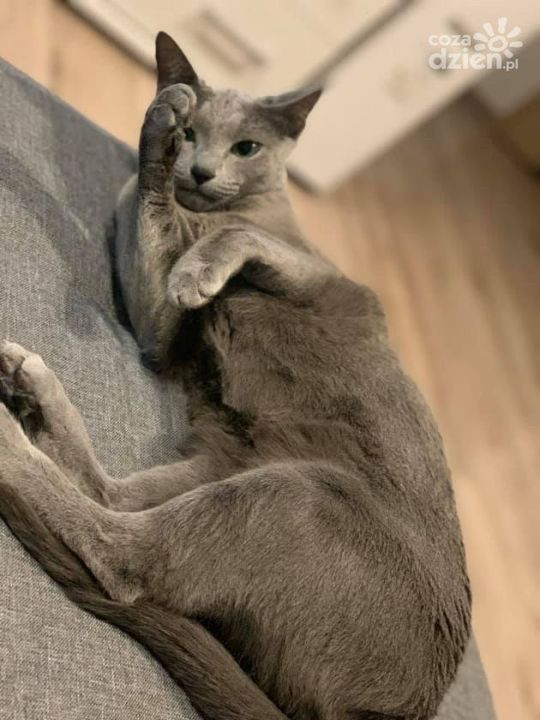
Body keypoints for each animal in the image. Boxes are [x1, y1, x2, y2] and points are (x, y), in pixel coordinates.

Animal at [0, 31, 470, 720]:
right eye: (197, 132)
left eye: (247, 147)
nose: (198, 167)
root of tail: (404, 708)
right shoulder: (161, 333)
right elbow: (148, 218)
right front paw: (158, 143)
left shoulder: (324, 280)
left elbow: (240, 238)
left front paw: (197, 263)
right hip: (227, 462)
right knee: (109, 499)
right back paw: (29, 383)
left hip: (297, 494)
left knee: (123, 555)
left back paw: (7, 436)